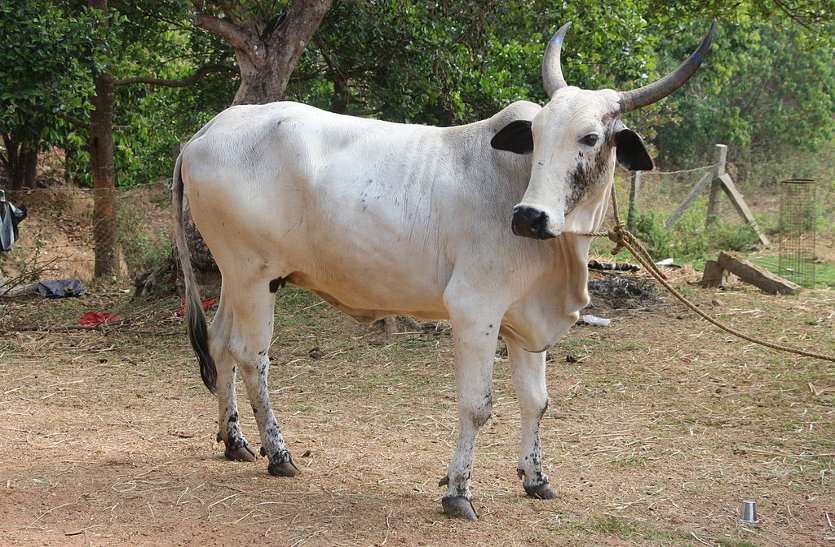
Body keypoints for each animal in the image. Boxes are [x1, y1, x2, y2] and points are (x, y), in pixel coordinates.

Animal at [175, 22, 712, 520]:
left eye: (591, 137)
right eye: (537, 135)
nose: (529, 218)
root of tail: (206, 131)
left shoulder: (526, 319)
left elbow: (536, 400)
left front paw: (536, 478)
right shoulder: (475, 309)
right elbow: (478, 406)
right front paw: (458, 491)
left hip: (235, 278)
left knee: (221, 344)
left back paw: (234, 441)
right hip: (255, 277)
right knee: (251, 356)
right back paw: (278, 452)